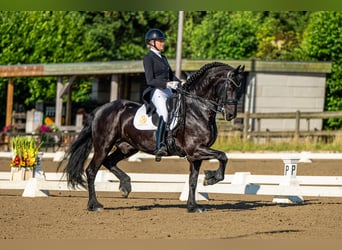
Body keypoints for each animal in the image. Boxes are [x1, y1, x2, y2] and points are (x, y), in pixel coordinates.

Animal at [62, 61, 244, 212]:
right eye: (229, 87)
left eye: (239, 88)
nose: (231, 115)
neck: (197, 109)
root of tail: (101, 109)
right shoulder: (196, 149)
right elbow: (223, 156)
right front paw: (211, 178)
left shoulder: (195, 154)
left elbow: (193, 180)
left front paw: (193, 206)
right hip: (103, 145)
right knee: (92, 170)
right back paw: (95, 205)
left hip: (127, 147)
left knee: (109, 162)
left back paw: (125, 186)